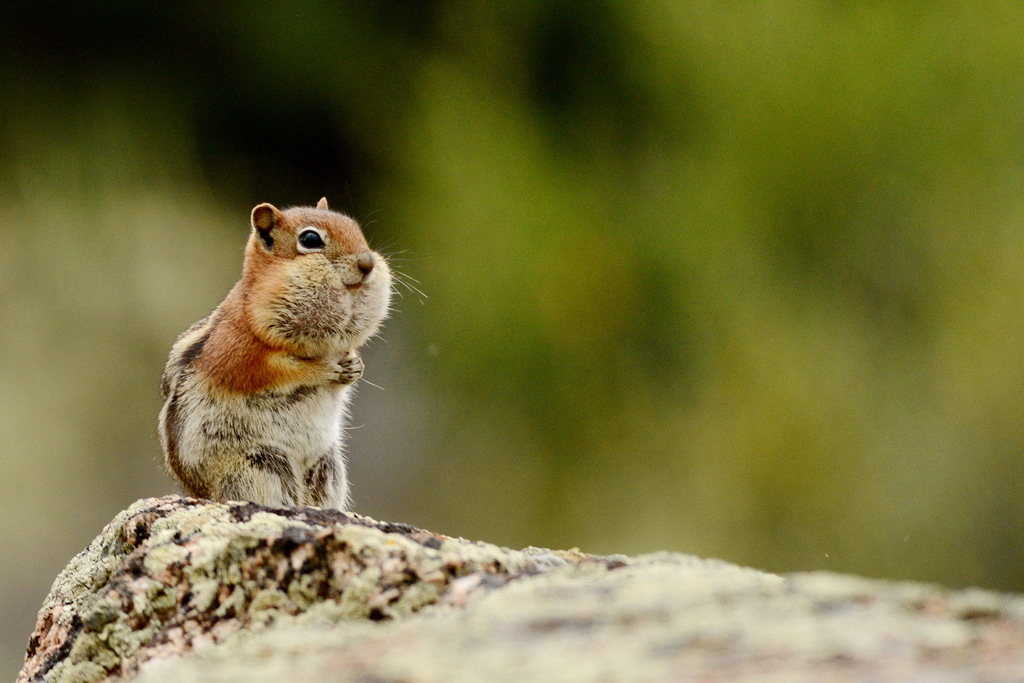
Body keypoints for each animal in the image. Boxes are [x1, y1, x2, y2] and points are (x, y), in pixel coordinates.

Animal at [158, 198, 392, 511]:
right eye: (310, 239)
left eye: (354, 228)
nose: (367, 263)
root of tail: (204, 495)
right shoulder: (240, 352)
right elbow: (282, 371)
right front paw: (324, 369)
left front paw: (355, 366)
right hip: (261, 463)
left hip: (328, 465)